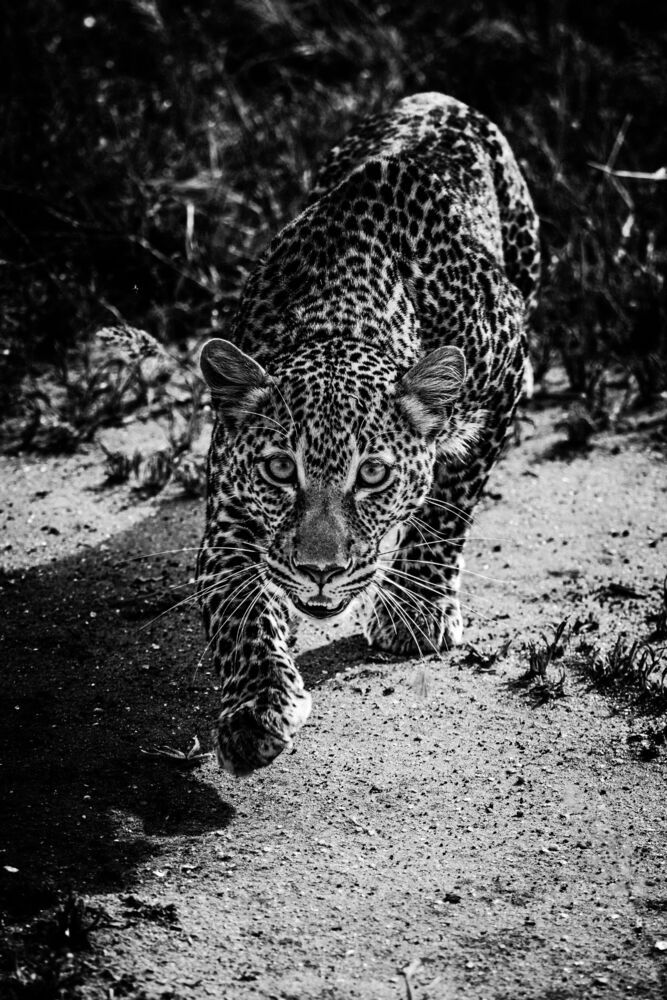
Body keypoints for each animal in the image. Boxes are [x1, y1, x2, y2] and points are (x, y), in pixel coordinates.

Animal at [196, 92, 540, 776]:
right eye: (280, 470)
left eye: (373, 475)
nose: (320, 571)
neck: (338, 312)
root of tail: (438, 96)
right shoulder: (231, 502)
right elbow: (238, 604)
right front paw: (256, 707)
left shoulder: (504, 370)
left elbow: (448, 507)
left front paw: (418, 613)